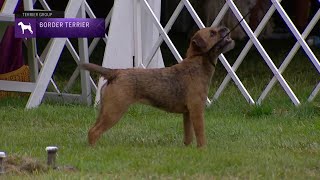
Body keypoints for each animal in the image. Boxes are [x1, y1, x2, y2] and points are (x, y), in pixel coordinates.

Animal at [81, 26, 234, 148]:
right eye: (212, 33)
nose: (226, 28)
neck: (197, 63)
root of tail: (115, 72)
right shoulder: (197, 110)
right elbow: (200, 133)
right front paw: (202, 150)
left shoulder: (187, 113)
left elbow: (188, 135)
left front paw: (187, 149)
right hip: (114, 110)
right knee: (94, 131)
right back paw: (94, 149)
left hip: (105, 110)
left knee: (92, 129)